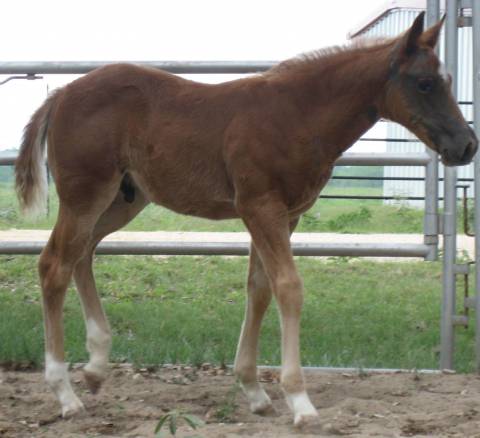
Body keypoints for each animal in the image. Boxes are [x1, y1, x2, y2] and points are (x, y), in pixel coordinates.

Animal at [14, 12, 476, 426]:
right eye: (425, 83)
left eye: (448, 81)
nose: (466, 145)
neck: (297, 115)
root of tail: (61, 95)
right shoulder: (261, 207)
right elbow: (288, 288)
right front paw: (299, 401)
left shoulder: (285, 215)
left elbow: (259, 290)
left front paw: (254, 391)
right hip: (85, 195)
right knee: (54, 264)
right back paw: (65, 393)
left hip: (124, 200)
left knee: (83, 254)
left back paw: (95, 367)